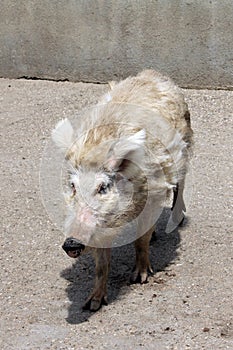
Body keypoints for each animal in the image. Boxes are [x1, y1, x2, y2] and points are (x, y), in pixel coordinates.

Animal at [52, 69, 192, 310]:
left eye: (103, 187)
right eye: (73, 186)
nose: (70, 243)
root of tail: (152, 73)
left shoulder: (152, 195)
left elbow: (141, 241)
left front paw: (140, 278)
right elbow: (101, 264)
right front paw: (92, 304)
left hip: (186, 143)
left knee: (180, 183)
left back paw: (176, 220)